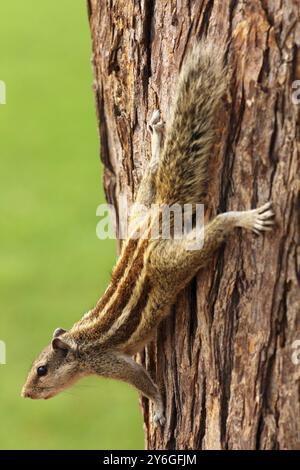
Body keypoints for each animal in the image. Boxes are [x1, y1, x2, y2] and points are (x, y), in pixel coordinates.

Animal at [21, 39, 274, 426]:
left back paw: (242, 218)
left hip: (168, 262)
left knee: (212, 231)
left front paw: (158, 407)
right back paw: (157, 138)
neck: (79, 346)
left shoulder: (108, 361)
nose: (24, 393)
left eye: (41, 370)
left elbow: (142, 380)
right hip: (142, 205)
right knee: (154, 169)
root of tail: (157, 217)